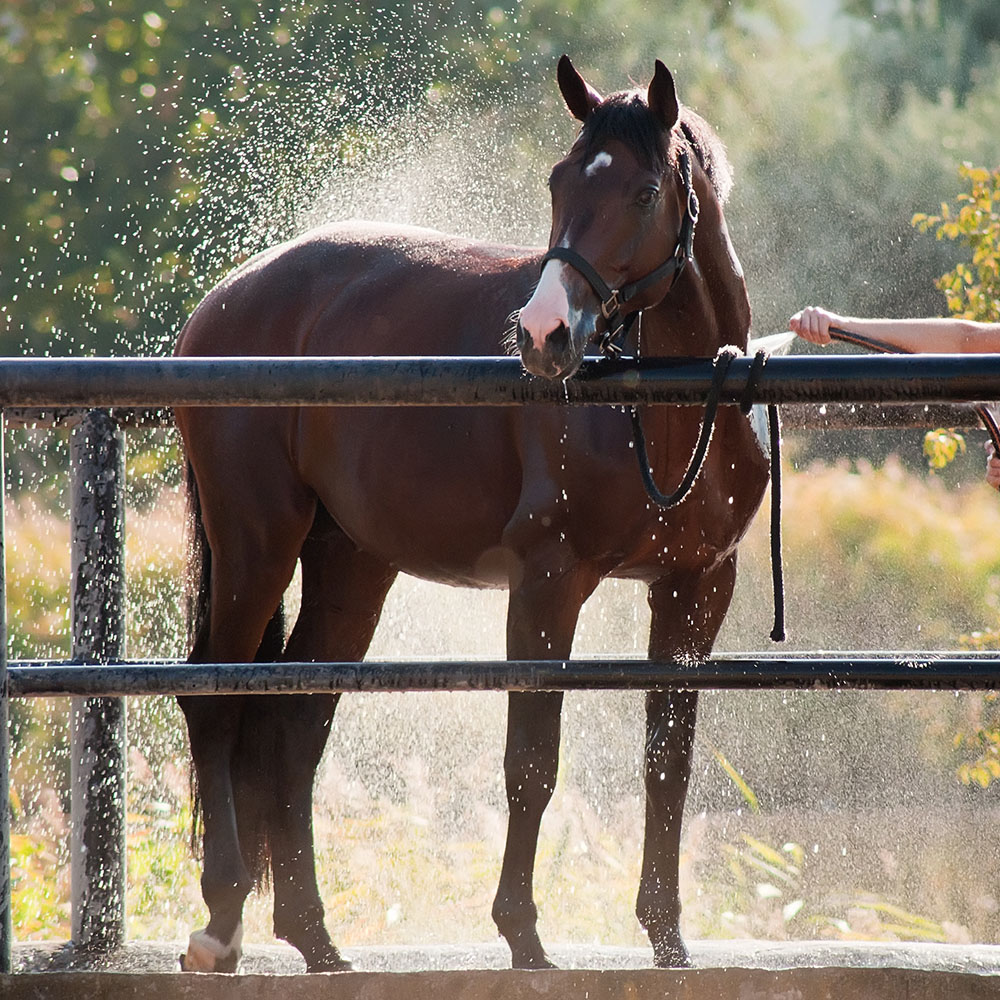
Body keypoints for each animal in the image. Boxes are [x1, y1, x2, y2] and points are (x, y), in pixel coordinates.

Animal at [173, 55, 770, 974]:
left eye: (642, 192)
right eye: (559, 179)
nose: (545, 334)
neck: (661, 408)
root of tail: (227, 298)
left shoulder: (696, 587)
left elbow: (667, 760)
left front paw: (668, 938)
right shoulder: (548, 583)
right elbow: (531, 762)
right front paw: (523, 934)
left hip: (350, 565)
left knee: (294, 722)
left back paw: (315, 937)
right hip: (256, 546)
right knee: (214, 697)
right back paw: (221, 920)